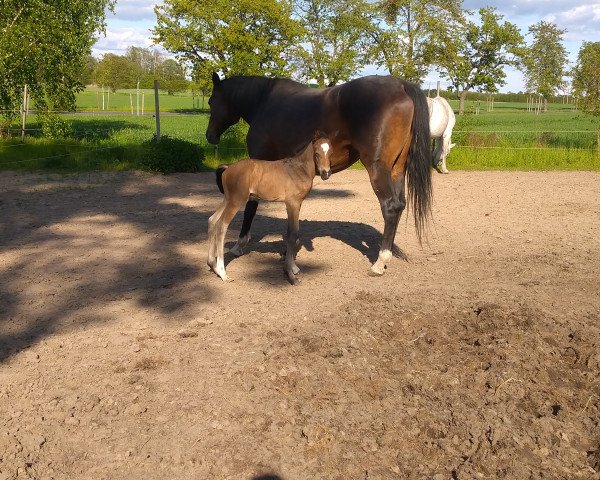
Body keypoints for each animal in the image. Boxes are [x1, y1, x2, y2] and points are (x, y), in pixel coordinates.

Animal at [207, 130, 332, 284]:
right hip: (236, 201)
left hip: (227, 199)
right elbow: (292, 235)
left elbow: (293, 234)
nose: (326, 174)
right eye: (316, 153)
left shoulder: (297, 204)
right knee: (222, 225)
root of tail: (228, 167)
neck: (297, 170)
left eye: (330, 152)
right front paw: (290, 273)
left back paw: (212, 264)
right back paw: (222, 272)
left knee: (212, 220)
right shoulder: (292, 203)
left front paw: (293, 268)